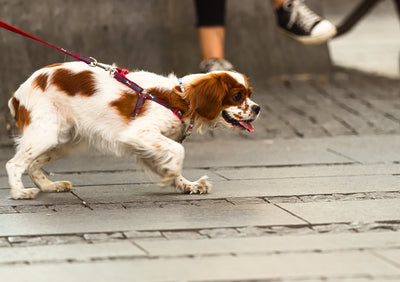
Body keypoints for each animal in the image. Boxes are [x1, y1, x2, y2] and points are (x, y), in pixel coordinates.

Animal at [7, 62, 260, 199]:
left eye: (249, 94)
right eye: (237, 96)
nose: (258, 108)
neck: (182, 98)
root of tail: (18, 94)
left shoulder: (149, 144)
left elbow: (171, 160)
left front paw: (187, 185)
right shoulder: (139, 133)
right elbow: (178, 152)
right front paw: (172, 176)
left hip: (65, 141)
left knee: (33, 164)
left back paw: (49, 186)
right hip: (46, 134)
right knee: (14, 163)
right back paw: (20, 193)